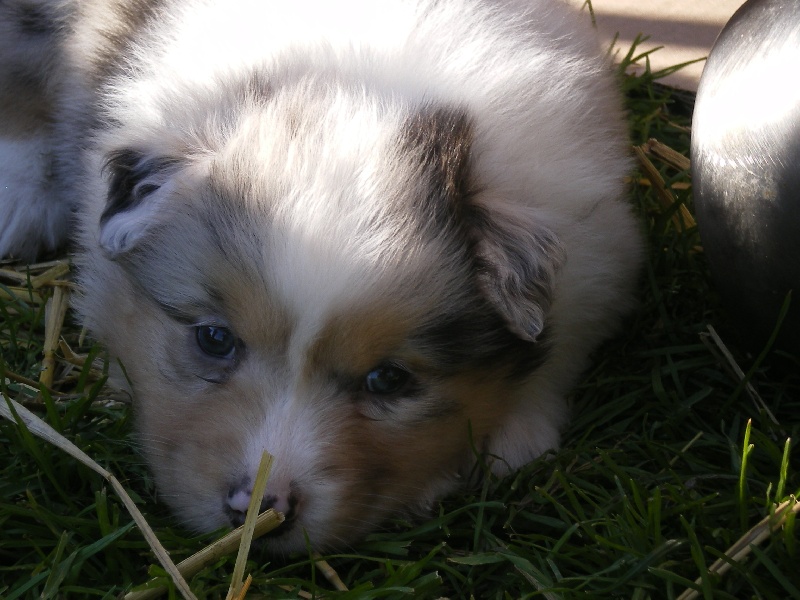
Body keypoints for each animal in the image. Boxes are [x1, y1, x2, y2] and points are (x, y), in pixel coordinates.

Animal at [0, 0, 643, 553]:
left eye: (388, 379)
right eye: (214, 339)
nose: (256, 512)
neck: (365, 83)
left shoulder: (594, 247)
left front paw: (508, 441)